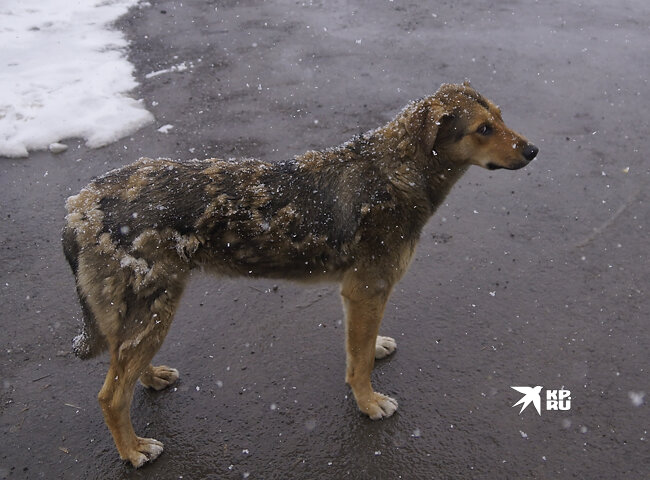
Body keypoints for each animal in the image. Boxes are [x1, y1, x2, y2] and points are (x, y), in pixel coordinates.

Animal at [60, 83, 536, 468]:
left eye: (501, 116)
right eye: (483, 129)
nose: (533, 150)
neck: (396, 172)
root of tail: (80, 206)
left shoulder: (361, 295)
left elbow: (361, 348)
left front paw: (376, 351)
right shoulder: (367, 289)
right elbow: (359, 363)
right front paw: (368, 404)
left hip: (143, 313)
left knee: (123, 365)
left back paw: (152, 377)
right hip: (155, 305)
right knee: (110, 396)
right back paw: (133, 450)